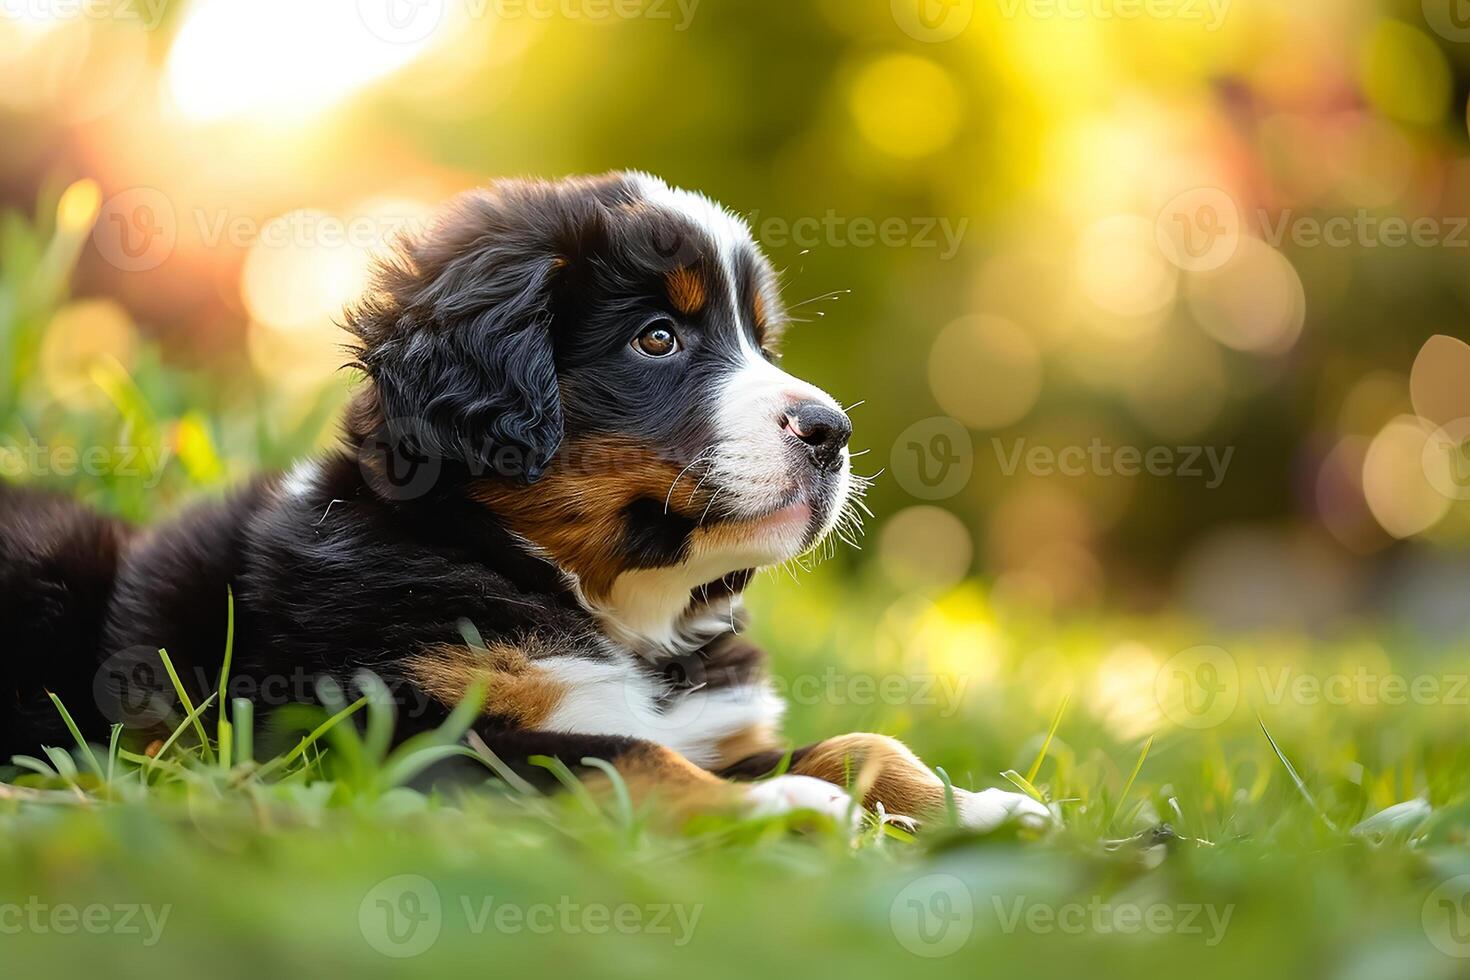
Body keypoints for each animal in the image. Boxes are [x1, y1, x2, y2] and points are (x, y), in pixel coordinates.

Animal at [2, 172, 1058, 834]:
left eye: (763, 341)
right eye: (658, 339)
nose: (832, 431)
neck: (609, 609)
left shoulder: (707, 722)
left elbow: (859, 740)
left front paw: (979, 807)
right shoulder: (391, 736)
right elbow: (614, 755)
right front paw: (781, 809)